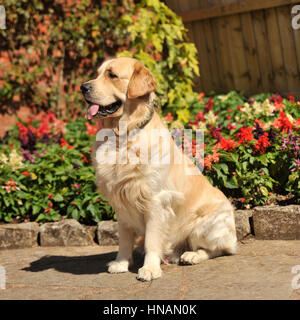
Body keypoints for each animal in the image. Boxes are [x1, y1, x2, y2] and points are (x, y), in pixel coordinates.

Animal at [81, 57, 237, 280]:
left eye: (112, 75)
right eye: (98, 73)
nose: (83, 87)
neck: (123, 137)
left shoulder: (156, 200)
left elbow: (152, 241)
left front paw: (150, 269)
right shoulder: (121, 203)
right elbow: (124, 239)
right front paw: (121, 263)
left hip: (205, 224)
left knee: (219, 249)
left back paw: (192, 255)